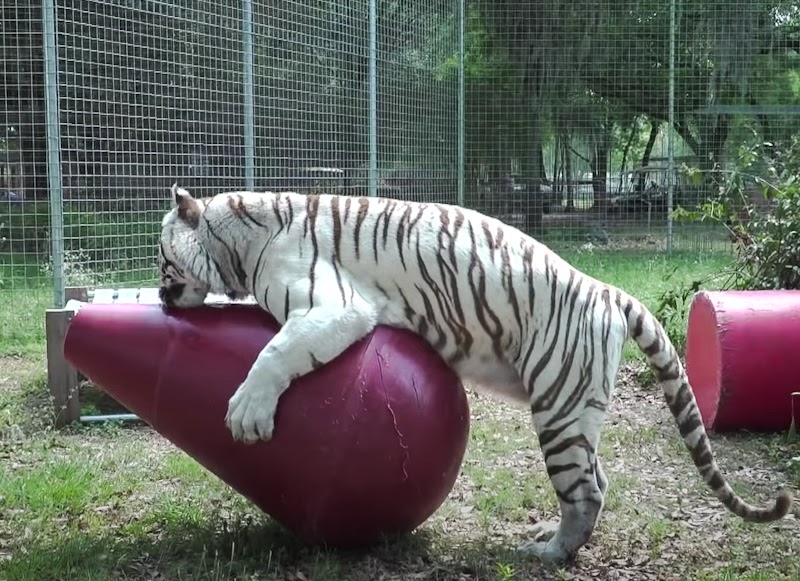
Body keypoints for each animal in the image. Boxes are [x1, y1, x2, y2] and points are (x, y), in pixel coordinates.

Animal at [157, 183, 793, 564]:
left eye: (162, 260)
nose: (161, 299)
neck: (238, 239)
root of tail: (607, 290)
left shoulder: (333, 305)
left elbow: (276, 352)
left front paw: (246, 416)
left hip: (558, 405)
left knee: (584, 491)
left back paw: (548, 554)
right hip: (579, 408)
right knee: (599, 481)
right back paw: (552, 542)